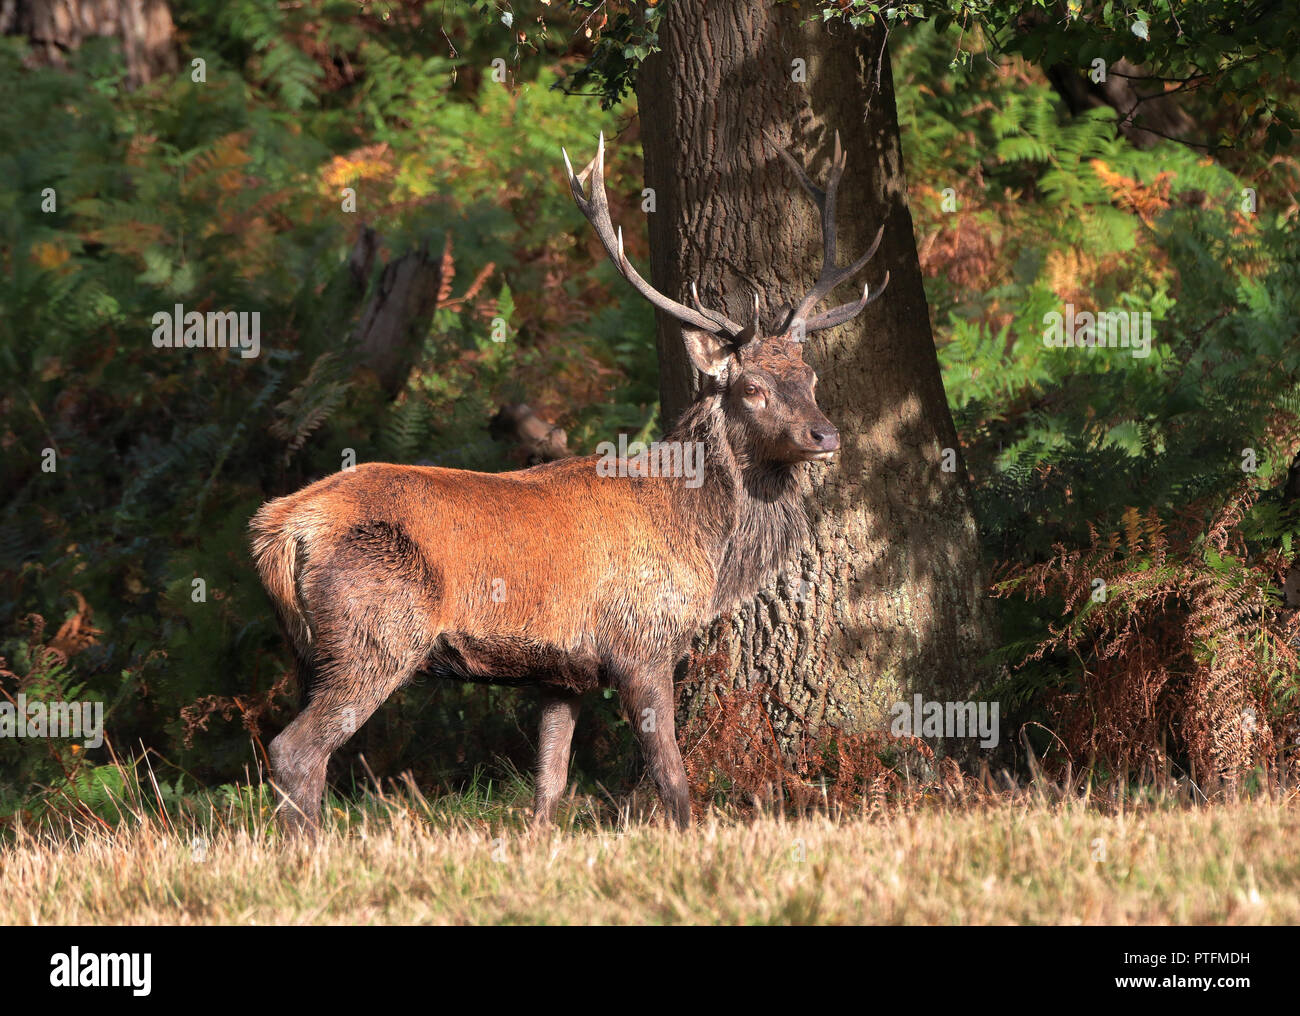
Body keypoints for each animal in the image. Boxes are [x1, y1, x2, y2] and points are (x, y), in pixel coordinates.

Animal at [250, 131, 887, 832]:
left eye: (810, 377)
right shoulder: (640, 642)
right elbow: (670, 773)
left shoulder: (562, 675)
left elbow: (549, 787)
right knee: (296, 749)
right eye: (752, 389)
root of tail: (278, 529)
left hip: (308, 650)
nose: (824, 435)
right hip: (377, 631)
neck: (703, 545)